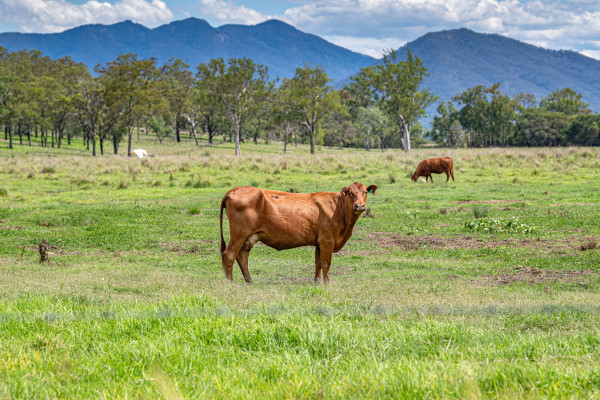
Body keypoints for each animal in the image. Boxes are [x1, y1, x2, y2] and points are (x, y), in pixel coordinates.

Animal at [219, 182, 378, 284]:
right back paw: (230, 283)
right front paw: (327, 283)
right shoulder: (327, 240)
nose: (359, 206)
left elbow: (318, 263)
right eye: (350, 193)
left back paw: (249, 281)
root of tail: (233, 190)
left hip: (249, 237)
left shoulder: (319, 242)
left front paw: (316, 282)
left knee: (242, 257)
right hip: (239, 234)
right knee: (229, 255)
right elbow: (326, 263)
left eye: (365, 192)